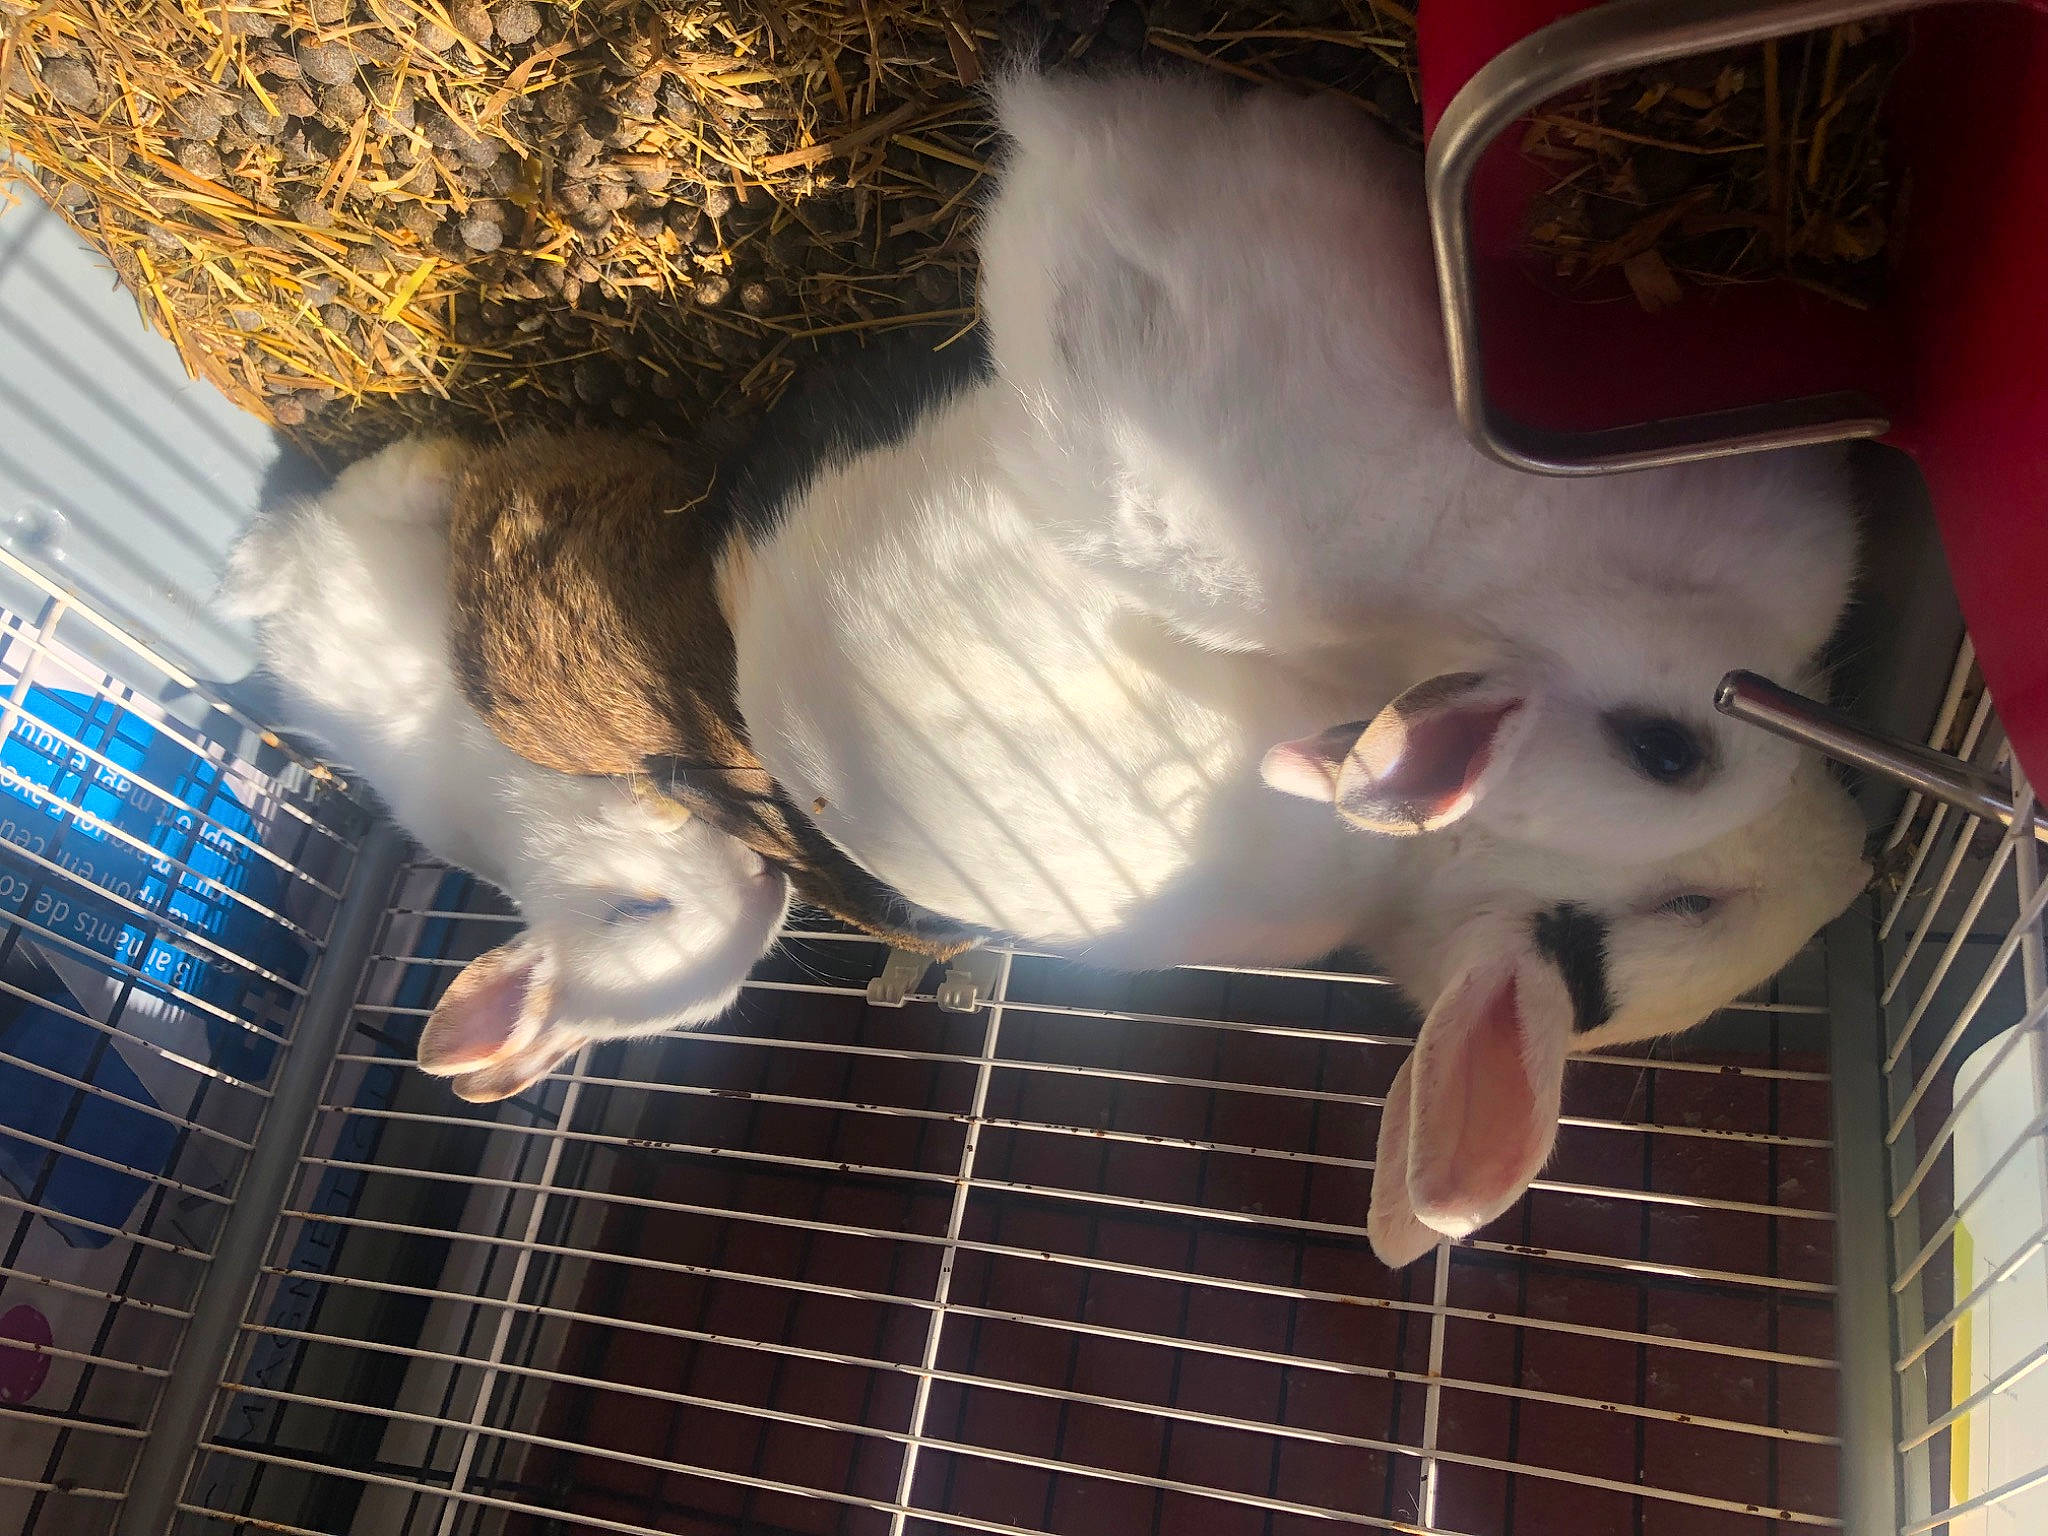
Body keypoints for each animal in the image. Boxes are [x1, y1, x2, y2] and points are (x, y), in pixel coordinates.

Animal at [218, 435, 792, 1104]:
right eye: (637, 909)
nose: (768, 881)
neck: (545, 838)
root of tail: (294, 562)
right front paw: (657, 803)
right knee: (379, 482)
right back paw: (440, 456)